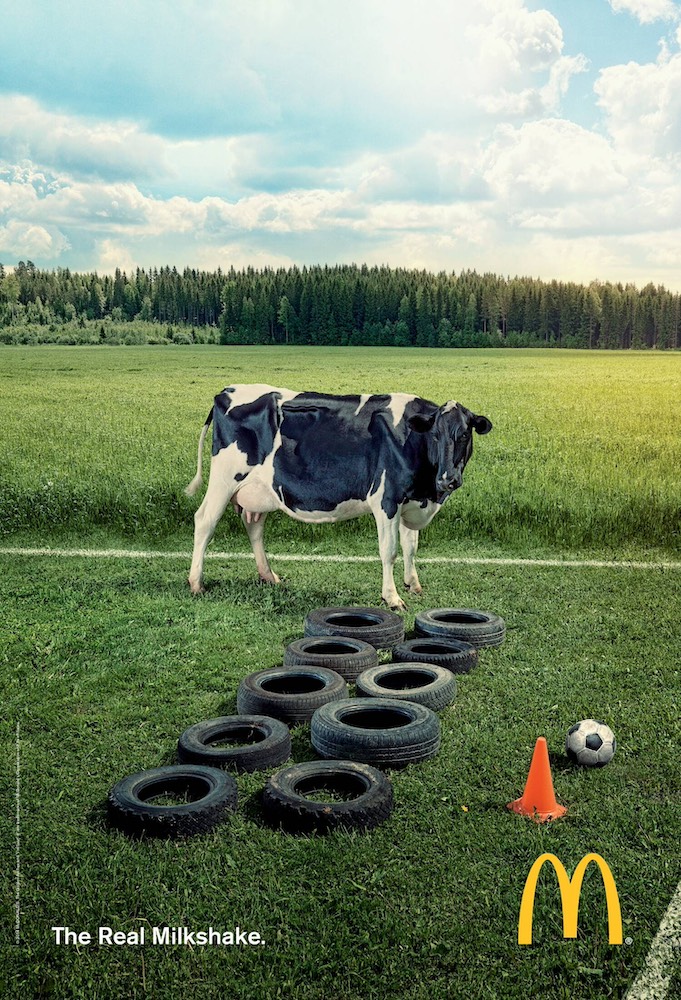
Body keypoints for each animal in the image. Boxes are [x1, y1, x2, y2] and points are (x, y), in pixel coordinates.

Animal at [185, 384, 492, 610]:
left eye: (465, 434)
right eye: (436, 435)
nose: (448, 479)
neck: (428, 491)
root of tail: (226, 391)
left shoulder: (411, 501)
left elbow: (411, 547)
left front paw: (413, 584)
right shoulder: (386, 499)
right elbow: (390, 550)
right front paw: (392, 598)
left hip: (259, 490)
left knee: (254, 526)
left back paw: (268, 575)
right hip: (225, 477)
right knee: (205, 521)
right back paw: (196, 583)